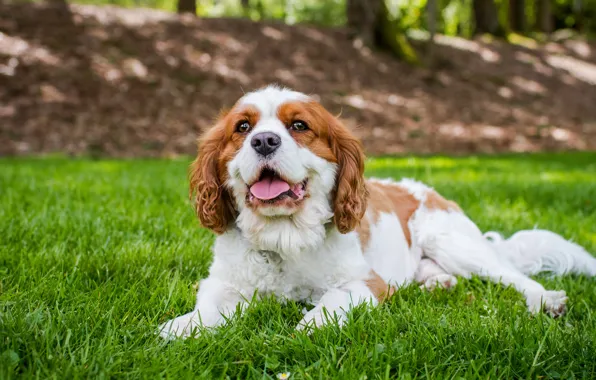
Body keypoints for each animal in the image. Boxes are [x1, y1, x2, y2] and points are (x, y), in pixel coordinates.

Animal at [158, 86, 596, 338]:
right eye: (242, 128)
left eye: (299, 126)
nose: (264, 141)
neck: (285, 237)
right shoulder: (223, 283)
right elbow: (209, 307)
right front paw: (183, 326)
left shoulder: (367, 284)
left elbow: (332, 299)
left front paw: (311, 324)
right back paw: (437, 283)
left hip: (454, 242)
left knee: (514, 277)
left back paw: (545, 300)